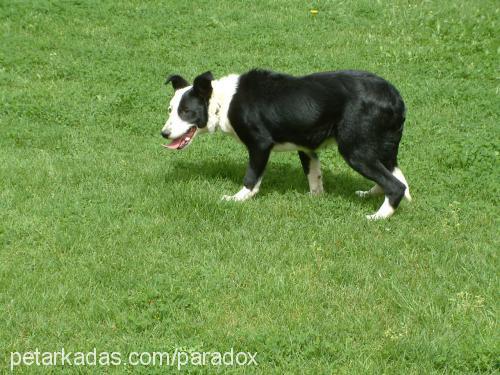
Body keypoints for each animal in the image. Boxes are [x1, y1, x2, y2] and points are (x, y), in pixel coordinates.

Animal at [160, 69, 410, 219]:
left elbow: (251, 179)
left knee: (396, 186)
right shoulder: (307, 148)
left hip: (354, 150)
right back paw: (370, 195)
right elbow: (315, 179)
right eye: (171, 110)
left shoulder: (260, 145)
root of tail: (394, 97)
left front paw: (237, 199)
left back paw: (377, 217)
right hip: (380, 147)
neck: (223, 102)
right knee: (394, 178)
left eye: (186, 112)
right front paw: (315, 200)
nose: (164, 133)